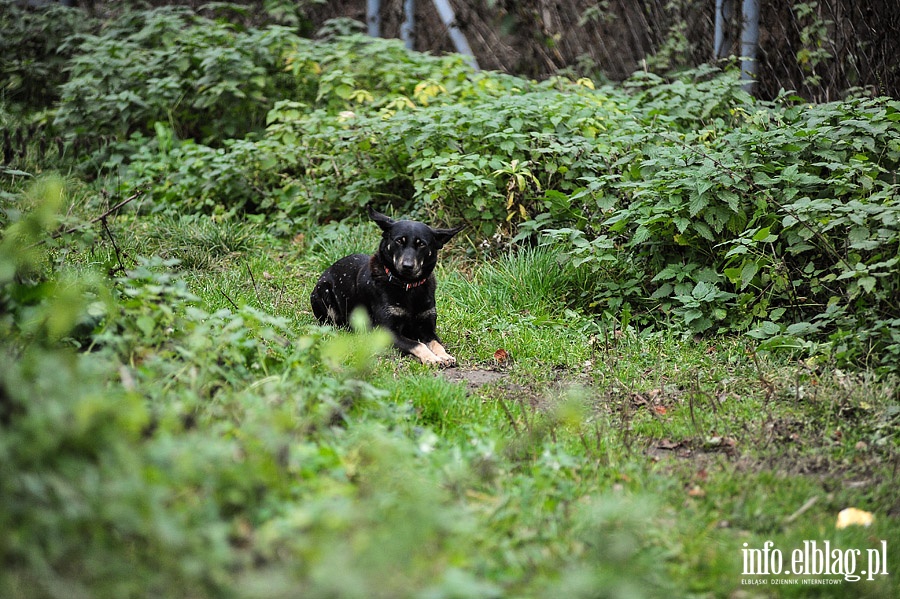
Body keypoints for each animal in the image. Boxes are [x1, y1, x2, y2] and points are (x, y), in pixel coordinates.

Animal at [310, 207, 464, 366]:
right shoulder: (387, 332)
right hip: (324, 292)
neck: (408, 286)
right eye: (399, 241)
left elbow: (436, 343)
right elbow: (418, 344)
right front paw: (431, 358)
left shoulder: (427, 328)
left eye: (421, 244)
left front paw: (444, 355)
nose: (407, 266)